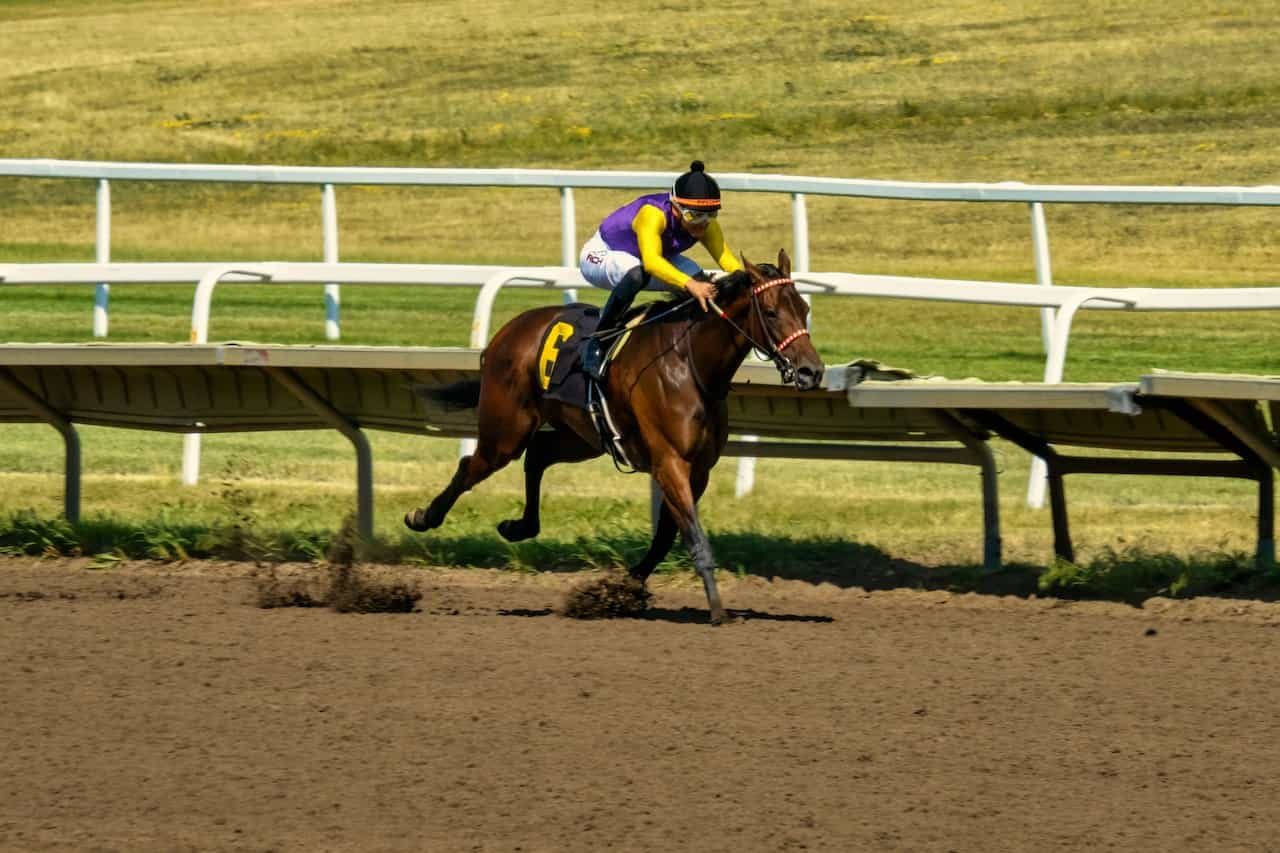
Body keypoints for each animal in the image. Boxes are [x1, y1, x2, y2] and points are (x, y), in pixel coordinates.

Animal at [404, 249, 824, 622]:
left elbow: (666, 536)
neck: (690, 363)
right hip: (507, 428)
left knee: (538, 454)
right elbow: (693, 535)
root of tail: (508, 331)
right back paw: (422, 516)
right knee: (472, 465)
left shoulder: (698, 468)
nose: (811, 371)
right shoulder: (670, 462)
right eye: (771, 312)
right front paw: (718, 611)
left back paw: (519, 526)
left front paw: (620, 588)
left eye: (804, 310)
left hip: (582, 436)